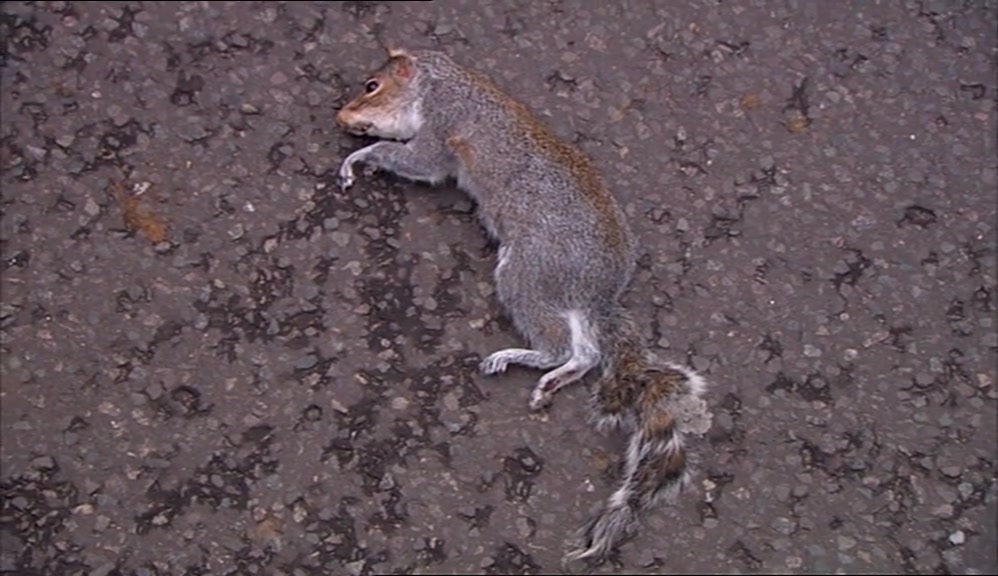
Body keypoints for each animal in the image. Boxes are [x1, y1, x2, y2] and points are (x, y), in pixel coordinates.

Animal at [335, 47, 710, 565]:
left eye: (372, 86)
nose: (342, 116)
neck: (443, 83)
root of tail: (599, 293)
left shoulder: (442, 126)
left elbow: (418, 160)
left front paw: (359, 157)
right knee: (586, 353)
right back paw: (557, 379)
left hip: (525, 274)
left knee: (560, 345)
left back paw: (520, 359)